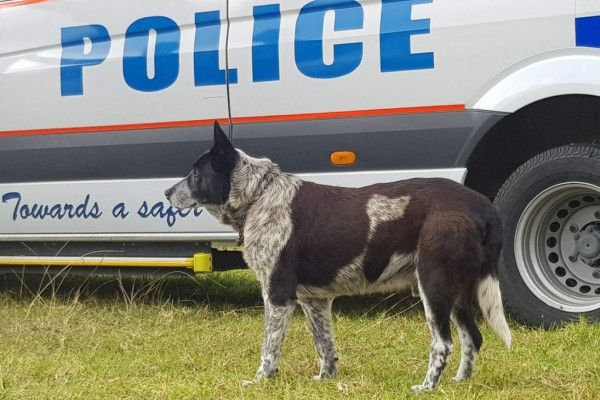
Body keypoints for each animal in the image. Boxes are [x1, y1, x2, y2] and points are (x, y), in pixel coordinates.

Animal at [164, 122, 510, 394]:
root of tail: (481, 205)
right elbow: (324, 345)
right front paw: (326, 380)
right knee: (473, 337)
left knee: (443, 343)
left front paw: (261, 380)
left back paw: (427, 387)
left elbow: (269, 348)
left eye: (195, 174)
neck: (259, 196)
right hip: (457, 292)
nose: (166, 193)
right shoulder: (314, 300)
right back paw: (459, 383)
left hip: (434, 286)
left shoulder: (278, 296)